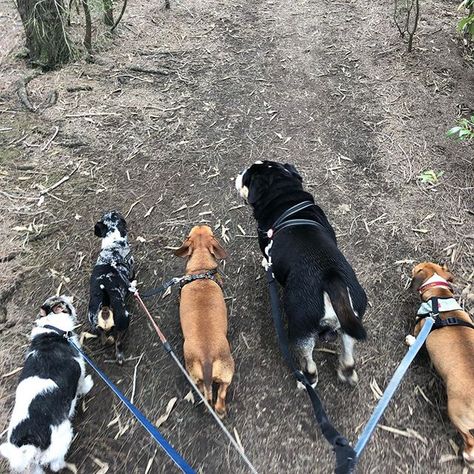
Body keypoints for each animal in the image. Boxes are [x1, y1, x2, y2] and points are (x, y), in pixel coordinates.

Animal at [0, 294, 93, 472]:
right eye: (63, 301)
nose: (67, 296)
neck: (51, 329)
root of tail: (29, 440)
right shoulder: (79, 369)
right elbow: (81, 385)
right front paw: (88, 385)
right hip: (62, 437)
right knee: (56, 464)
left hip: (32, 466)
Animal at [87, 211, 134, 362]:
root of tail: (105, 307)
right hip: (124, 320)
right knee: (118, 342)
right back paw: (120, 356)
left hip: (95, 324)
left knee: (104, 340)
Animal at [175, 227, 234, 418]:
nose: (201, 224)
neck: (200, 269)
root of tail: (207, 359)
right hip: (227, 370)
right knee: (221, 392)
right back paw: (221, 410)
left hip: (198, 376)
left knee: (208, 393)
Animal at [236, 160, 366, 386]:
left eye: (245, 177)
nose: (237, 174)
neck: (286, 199)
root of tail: (331, 279)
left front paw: (265, 263)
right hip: (350, 321)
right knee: (349, 355)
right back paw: (347, 373)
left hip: (300, 329)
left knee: (309, 363)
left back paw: (306, 380)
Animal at [408, 262, 474, 468]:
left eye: (416, 268)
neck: (439, 294)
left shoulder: (420, 327)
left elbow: (414, 338)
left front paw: (409, 341)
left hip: (456, 413)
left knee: (469, 439)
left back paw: (468, 455)